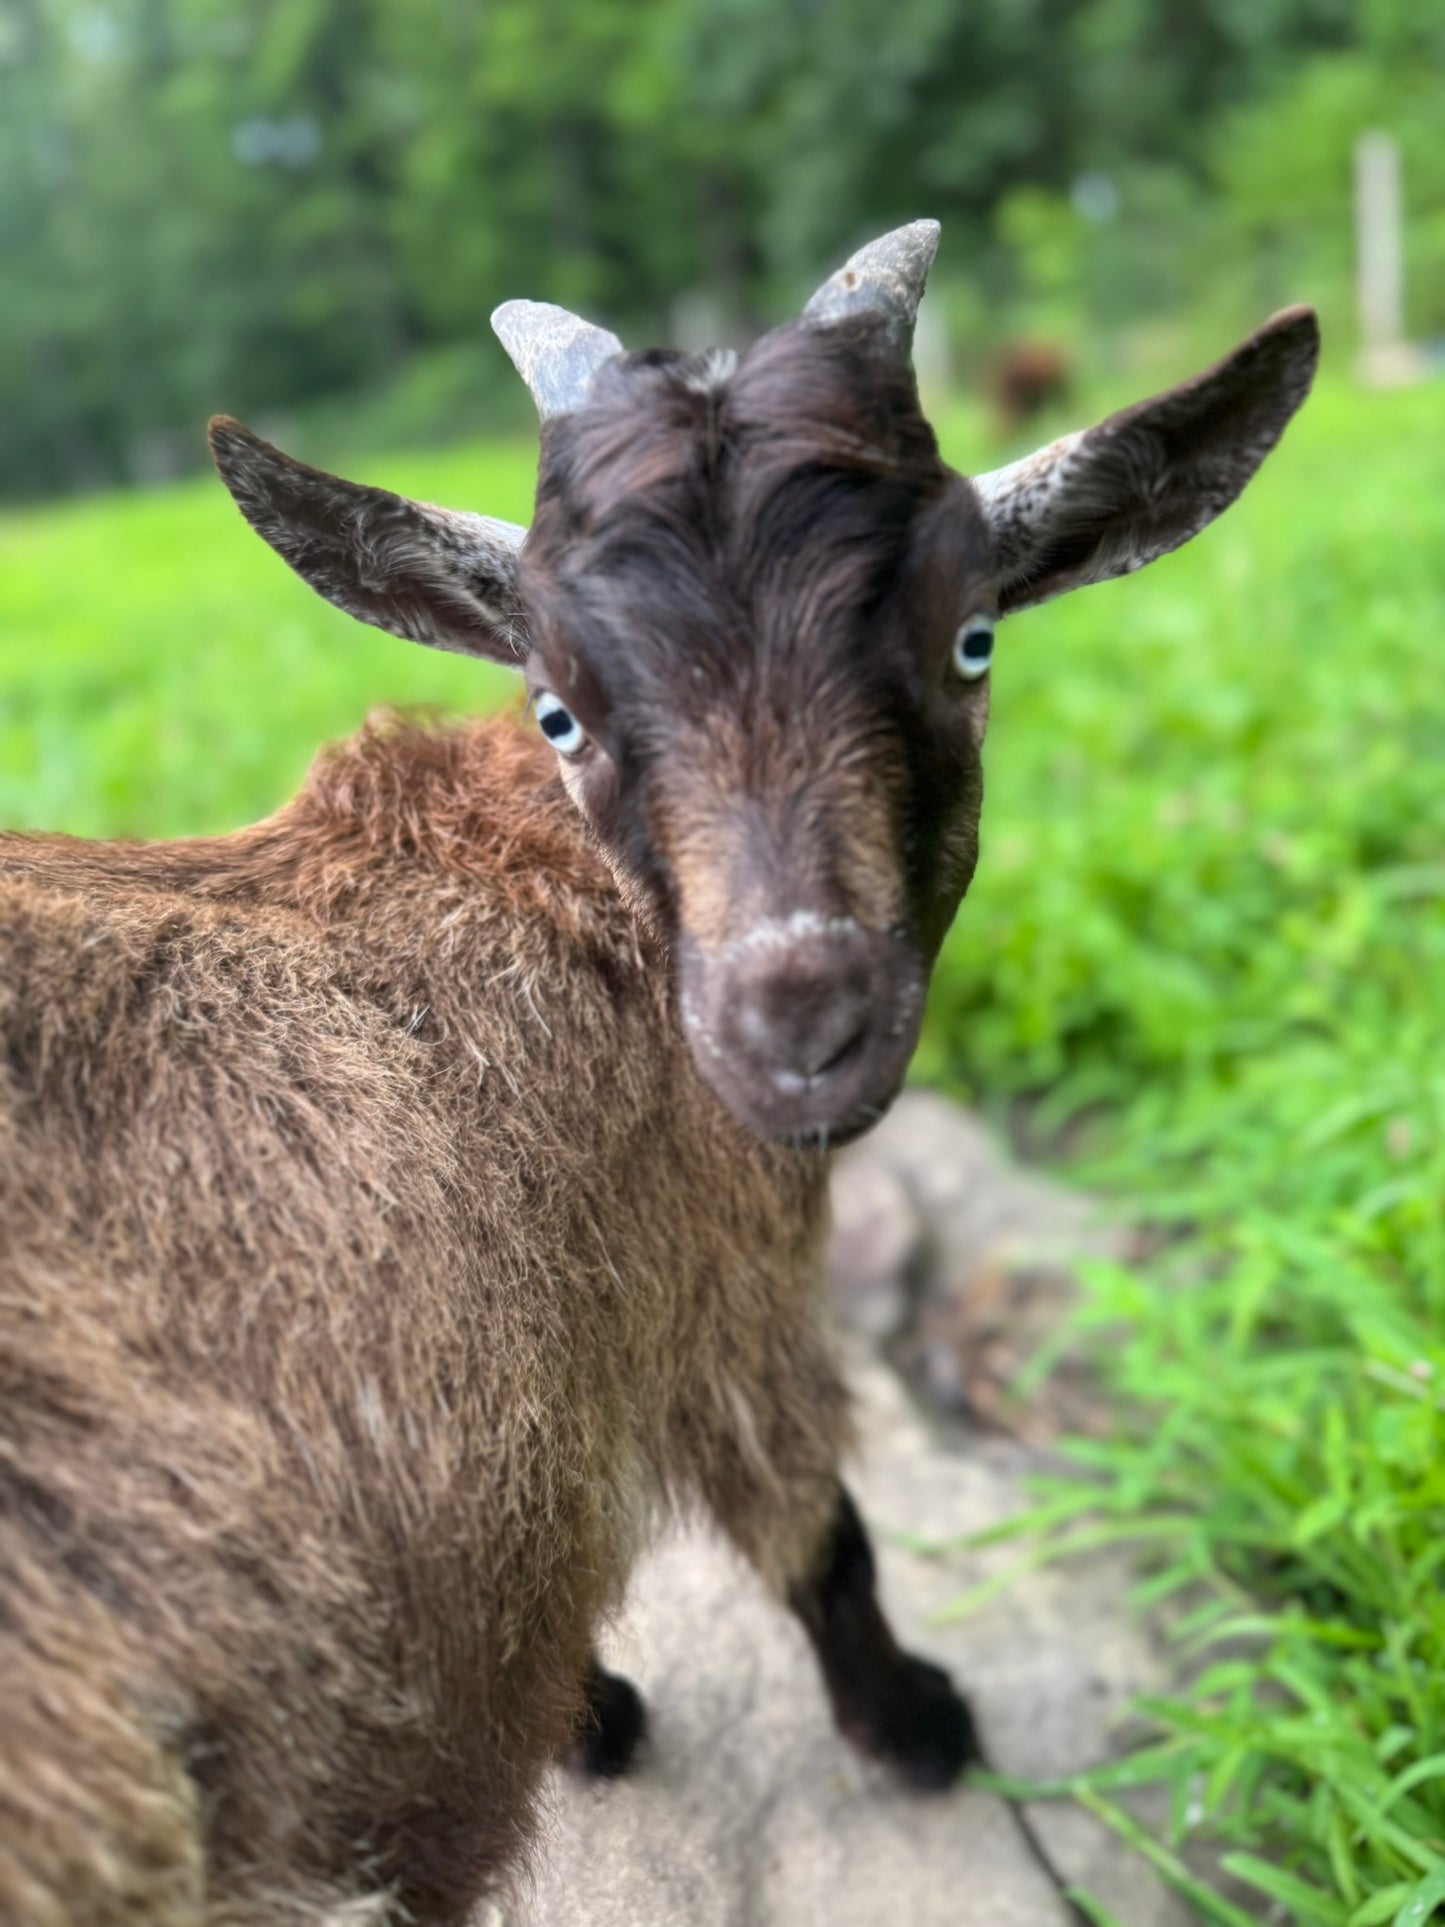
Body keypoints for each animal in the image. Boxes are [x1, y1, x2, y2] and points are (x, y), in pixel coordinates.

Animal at [0, 223, 1317, 1925]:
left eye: (973, 638)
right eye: (559, 707)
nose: (798, 1031)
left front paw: (595, 1714)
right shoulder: (720, 1299)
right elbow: (821, 1534)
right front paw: (913, 1728)